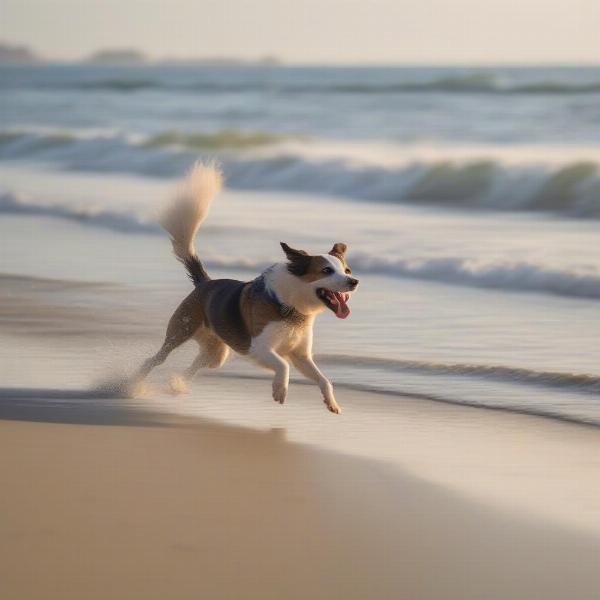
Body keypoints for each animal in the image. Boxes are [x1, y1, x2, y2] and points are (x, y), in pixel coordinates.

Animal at [134, 163, 358, 412]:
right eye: (326, 271)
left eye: (347, 270)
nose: (354, 282)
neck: (291, 306)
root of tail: (204, 282)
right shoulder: (258, 348)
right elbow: (283, 366)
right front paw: (279, 390)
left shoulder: (300, 355)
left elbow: (324, 380)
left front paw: (331, 403)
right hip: (180, 331)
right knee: (155, 359)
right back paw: (132, 385)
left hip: (217, 352)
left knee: (196, 365)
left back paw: (177, 384)